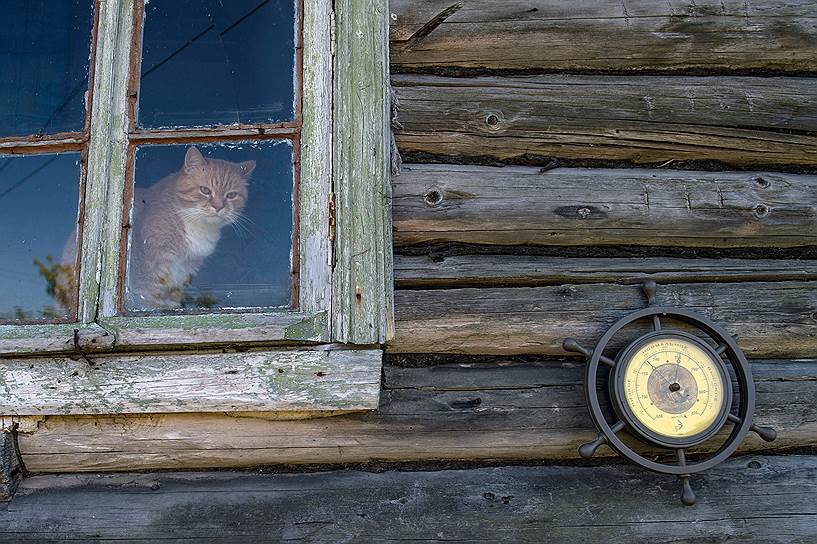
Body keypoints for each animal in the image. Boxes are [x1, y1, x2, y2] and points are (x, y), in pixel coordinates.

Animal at [127, 148, 253, 310]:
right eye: (205, 190)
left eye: (231, 195)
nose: (218, 207)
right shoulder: (154, 264)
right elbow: (150, 298)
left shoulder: (185, 270)